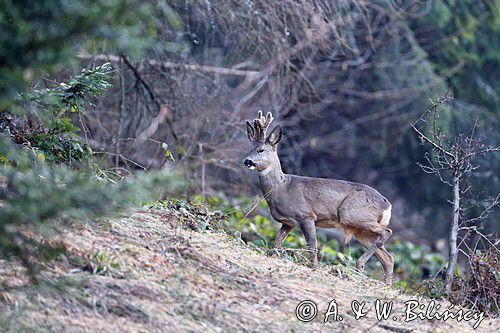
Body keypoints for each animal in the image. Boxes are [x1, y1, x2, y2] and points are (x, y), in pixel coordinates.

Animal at [243, 111, 394, 282]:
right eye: (250, 148)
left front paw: (314, 267)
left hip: (352, 214)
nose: (247, 161)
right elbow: (277, 241)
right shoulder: (288, 222)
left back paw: (360, 264)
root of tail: (387, 205)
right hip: (360, 231)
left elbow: (312, 245)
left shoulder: (306, 215)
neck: (281, 187)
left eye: (261, 150)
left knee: (387, 232)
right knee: (388, 258)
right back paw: (384, 283)